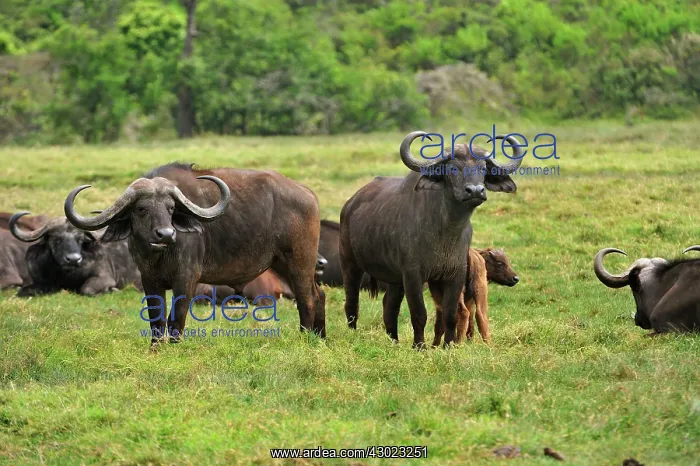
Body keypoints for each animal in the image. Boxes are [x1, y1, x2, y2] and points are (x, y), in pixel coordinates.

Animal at [9, 212, 142, 297]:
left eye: (80, 239)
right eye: (57, 239)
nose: (73, 259)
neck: (66, 275)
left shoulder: (104, 278)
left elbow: (86, 289)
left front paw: (113, 290)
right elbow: (21, 291)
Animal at [64, 162, 326, 346]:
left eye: (171, 208)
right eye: (141, 209)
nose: (166, 234)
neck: (160, 255)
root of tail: (307, 193)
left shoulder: (186, 278)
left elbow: (176, 316)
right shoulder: (149, 280)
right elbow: (156, 318)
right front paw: (155, 347)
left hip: (299, 260)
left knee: (306, 298)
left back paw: (305, 337)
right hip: (282, 263)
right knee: (319, 294)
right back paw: (320, 338)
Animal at [339, 131, 523, 348]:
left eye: (483, 168)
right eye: (453, 167)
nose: (476, 191)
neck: (445, 233)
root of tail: (350, 204)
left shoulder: (454, 275)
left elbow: (451, 314)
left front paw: (449, 345)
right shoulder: (412, 275)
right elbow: (419, 313)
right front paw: (419, 346)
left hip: (395, 279)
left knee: (389, 306)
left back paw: (394, 341)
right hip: (350, 263)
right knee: (352, 302)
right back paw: (353, 333)